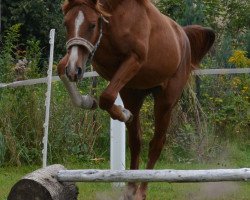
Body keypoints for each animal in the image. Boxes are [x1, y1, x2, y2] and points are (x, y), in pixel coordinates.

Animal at [57, 0, 215, 198]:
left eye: (92, 25)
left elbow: (106, 96)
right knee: (136, 141)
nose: (74, 71)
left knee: (156, 143)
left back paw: (141, 191)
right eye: (66, 24)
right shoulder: (87, 56)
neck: (114, 23)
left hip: (165, 101)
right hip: (133, 93)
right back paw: (131, 187)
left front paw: (122, 113)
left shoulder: (135, 59)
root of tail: (183, 36)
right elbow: (60, 67)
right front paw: (86, 101)